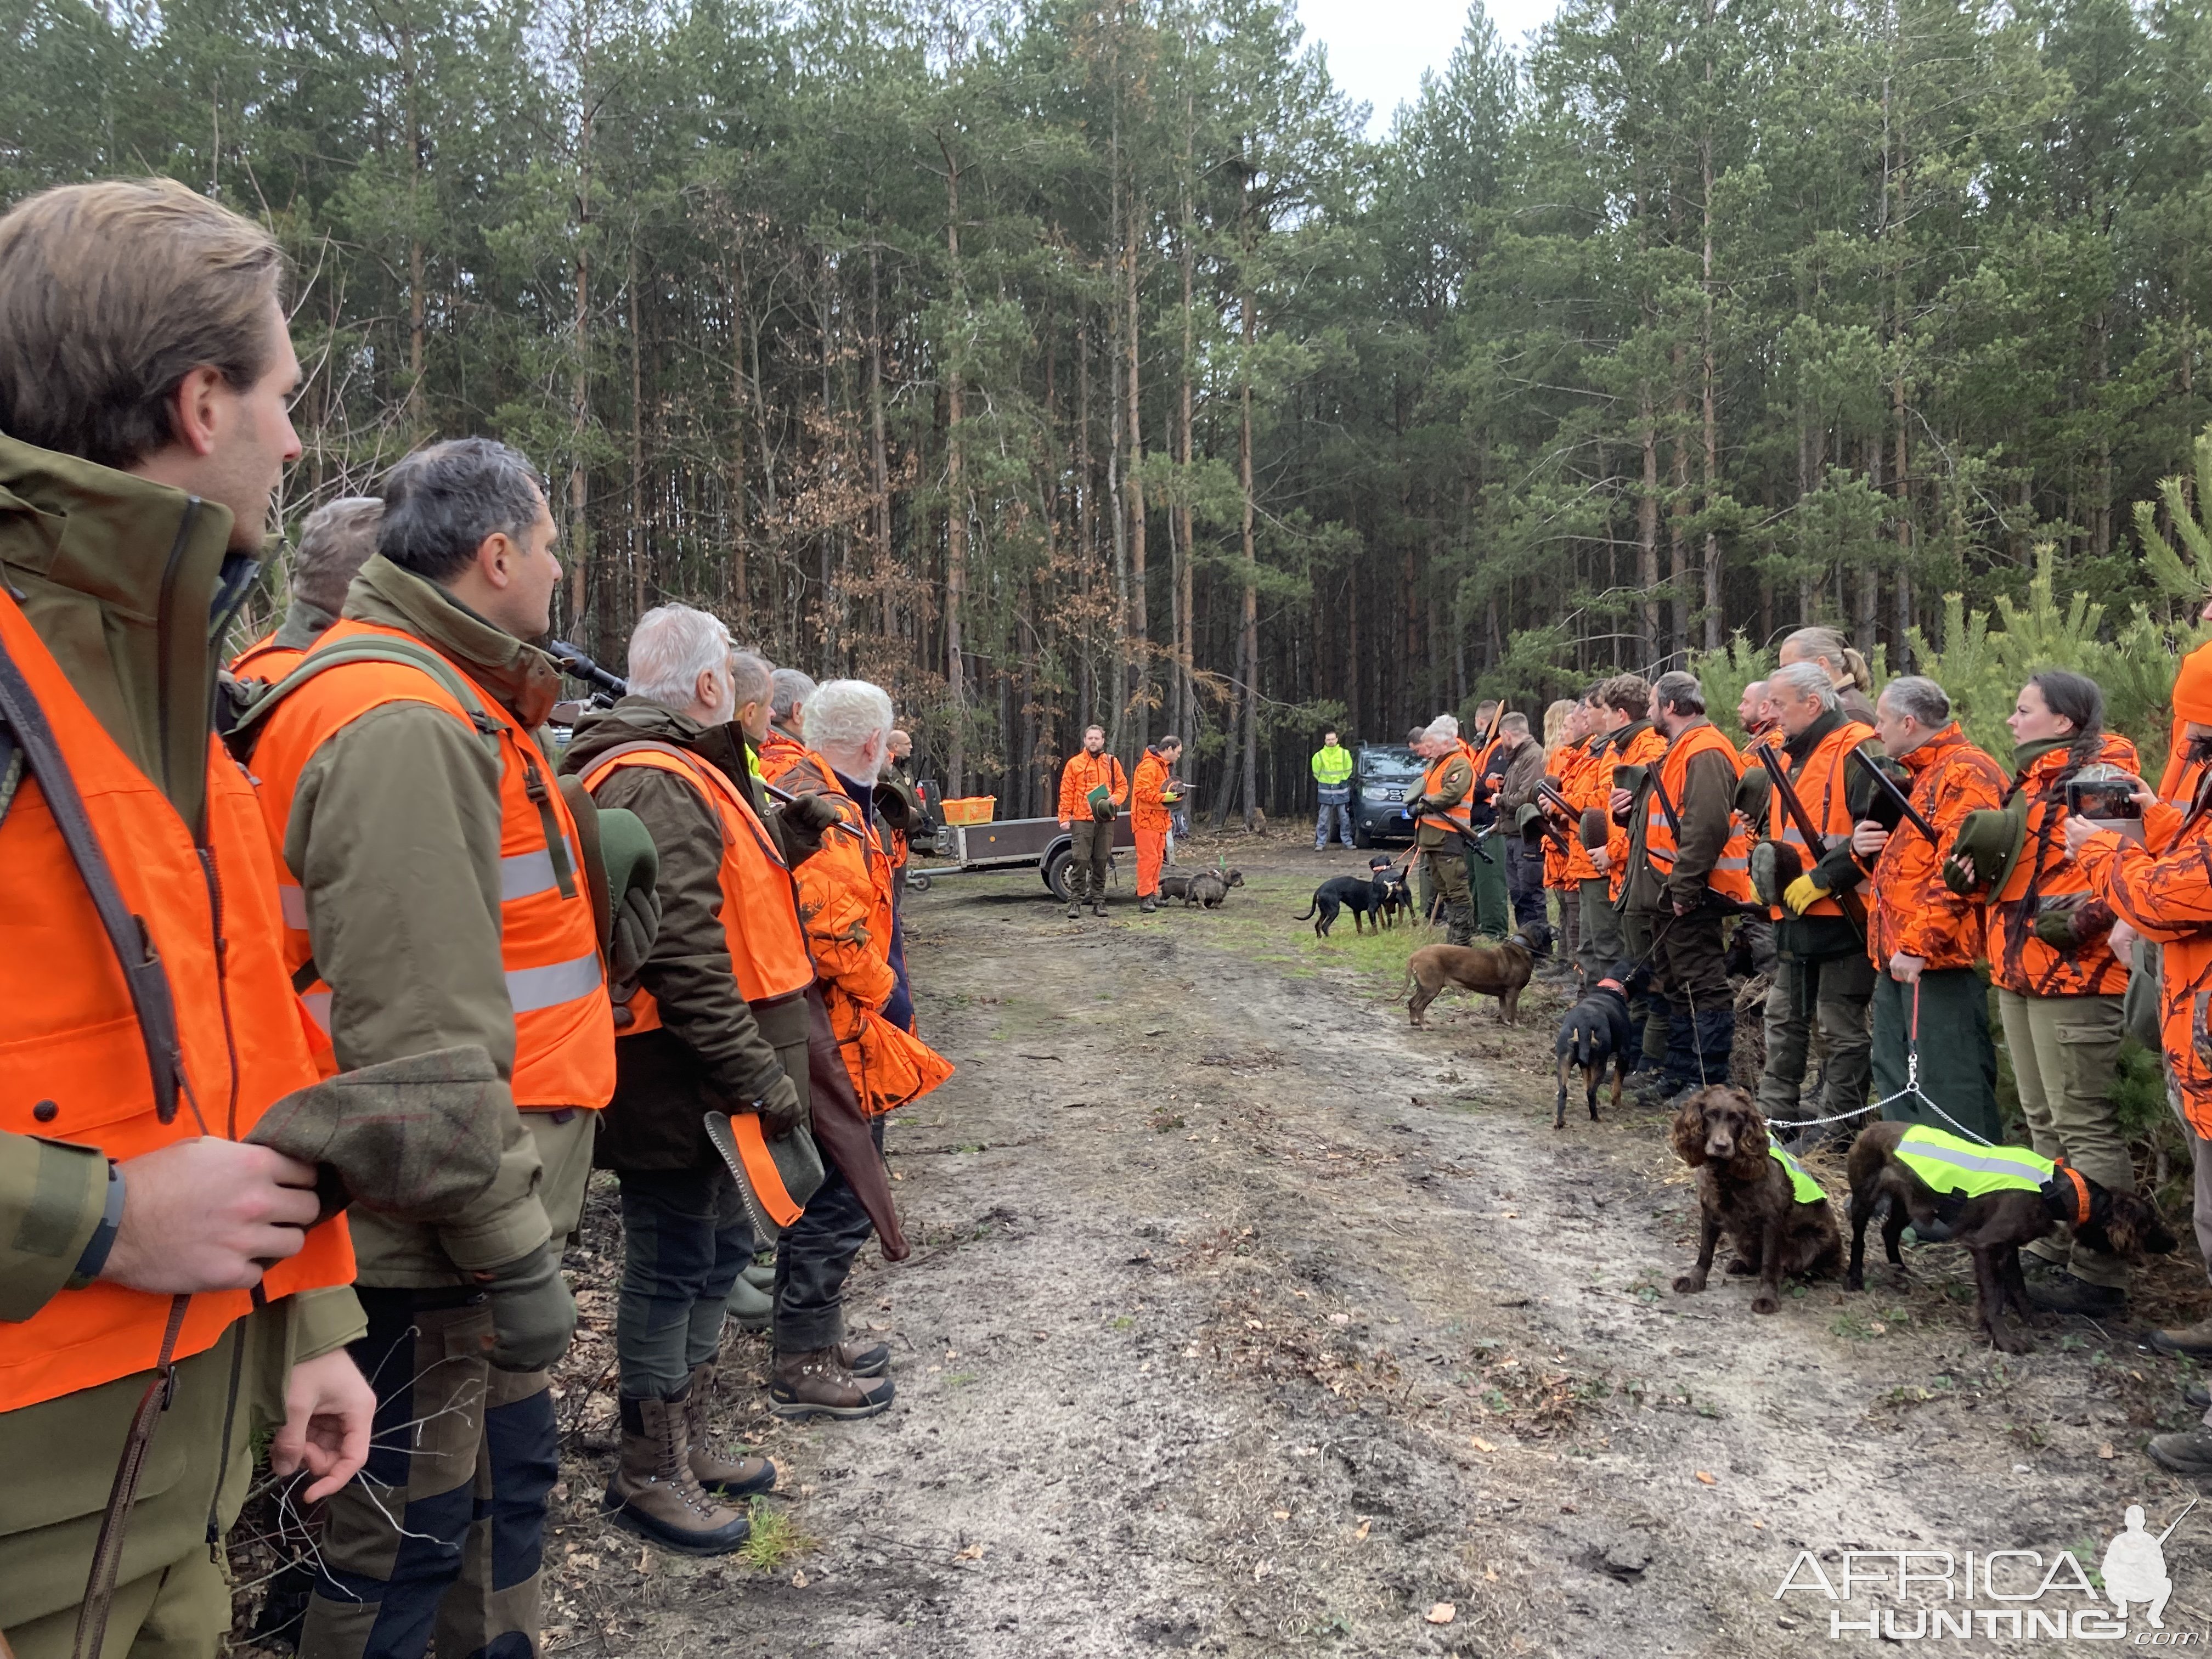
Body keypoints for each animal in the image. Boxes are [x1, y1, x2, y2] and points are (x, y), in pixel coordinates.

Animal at [1557, 973, 1645, 1132]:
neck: (1610, 989)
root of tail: (1584, 1025)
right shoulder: (1624, 1054)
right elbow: (1617, 1085)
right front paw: (1617, 1104)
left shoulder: (1585, 1064)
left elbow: (1587, 1081)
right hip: (1601, 1064)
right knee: (1591, 1092)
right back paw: (1596, 1118)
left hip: (1564, 1062)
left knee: (1563, 1092)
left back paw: (1560, 1122)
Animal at [1663, 1084, 1840, 1318]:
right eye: (1711, 1115)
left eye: (1736, 1119)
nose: (1721, 1145)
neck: (1726, 1173)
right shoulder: (1709, 1210)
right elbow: (1705, 1253)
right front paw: (1694, 1281)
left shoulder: (1772, 1221)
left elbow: (1769, 1264)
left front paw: (1767, 1298)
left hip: (1811, 1243)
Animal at [1840, 1124, 2168, 1353]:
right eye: (2151, 1224)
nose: (2173, 1242)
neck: (2052, 1188)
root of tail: (1868, 1128)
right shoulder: (1986, 1246)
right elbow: (1995, 1300)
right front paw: (2005, 1340)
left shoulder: (2008, 1249)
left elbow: (2020, 1290)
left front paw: (2033, 1320)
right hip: (1865, 1198)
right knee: (1859, 1239)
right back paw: (1855, 1278)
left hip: (1909, 1202)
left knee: (1889, 1231)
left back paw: (1900, 1270)